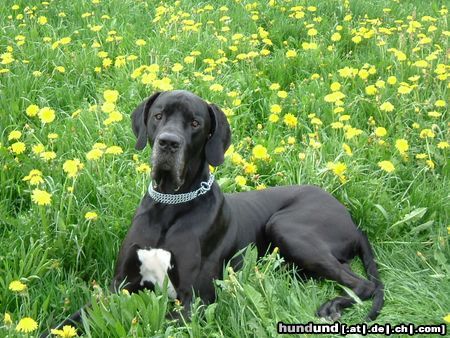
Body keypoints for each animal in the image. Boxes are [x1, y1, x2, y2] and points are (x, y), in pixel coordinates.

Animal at [44, 90, 384, 336]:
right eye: (158, 116)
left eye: (195, 123)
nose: (168, 143)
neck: (171, 203)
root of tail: (351, 219)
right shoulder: (119, 285)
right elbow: (72, 318)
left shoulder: (192, 299)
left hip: (286, 226)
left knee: (364, 284)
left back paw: (332, 306)